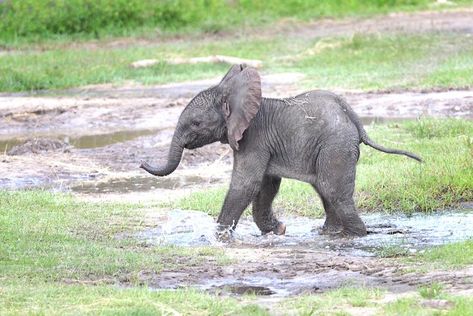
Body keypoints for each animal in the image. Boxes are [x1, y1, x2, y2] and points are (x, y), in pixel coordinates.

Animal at [141, 64, 420, 237]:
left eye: (196, 123)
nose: (142, 163)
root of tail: (354, 118)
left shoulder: (253, 138)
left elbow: (247, 183)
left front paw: (219, 237)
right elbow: (266, 185)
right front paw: (278, 231)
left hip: (335, 145)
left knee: (331, 189)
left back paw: (355, 235)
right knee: (324, 188)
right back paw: (328, 233)